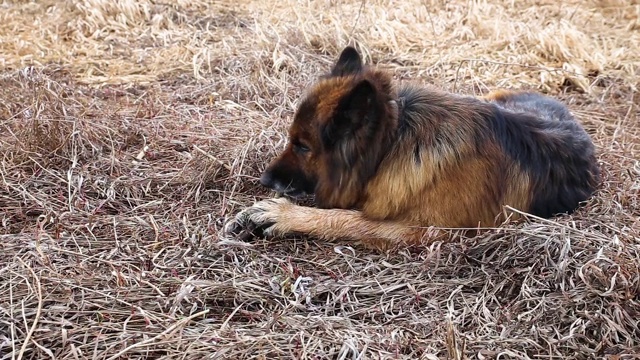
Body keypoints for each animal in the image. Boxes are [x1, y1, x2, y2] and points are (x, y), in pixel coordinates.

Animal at [225, 45, 600, 250]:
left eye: (303, 146)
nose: (264, 180)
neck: (392, 143)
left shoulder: (425, 231)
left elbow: (347, 220)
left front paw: (282, 213)